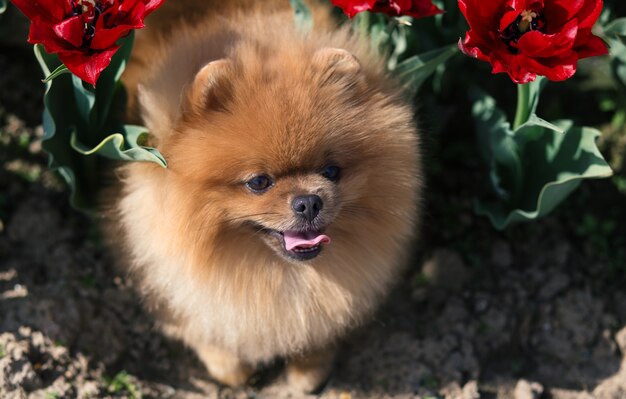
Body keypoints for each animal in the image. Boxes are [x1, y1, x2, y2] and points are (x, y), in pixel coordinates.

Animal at [114, 0, 422, 394]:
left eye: (331, 171)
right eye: (259, 182)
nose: (308, 201)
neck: (275, 273)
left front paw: (309, 368)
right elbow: (201, 329)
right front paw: (232, 368)